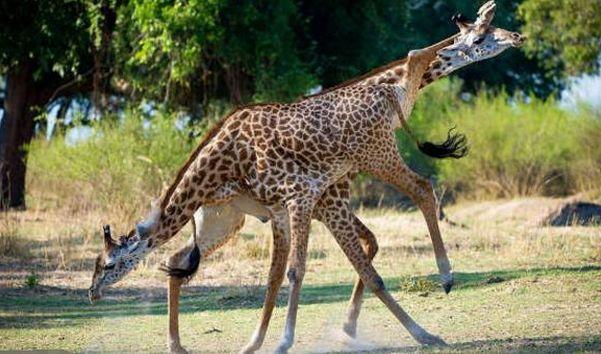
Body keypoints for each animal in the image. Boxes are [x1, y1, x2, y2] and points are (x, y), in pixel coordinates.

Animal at [86, 2, 524, 352]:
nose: (91, 292)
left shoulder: (305, 200)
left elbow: (303, 270)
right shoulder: (300, 204)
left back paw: (444, 279)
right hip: (248, 211)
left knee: (421, 188)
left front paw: (281, 340)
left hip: (366, 161)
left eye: (106, 265)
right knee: (179, 260)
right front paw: (268, 341)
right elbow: (290, 272)